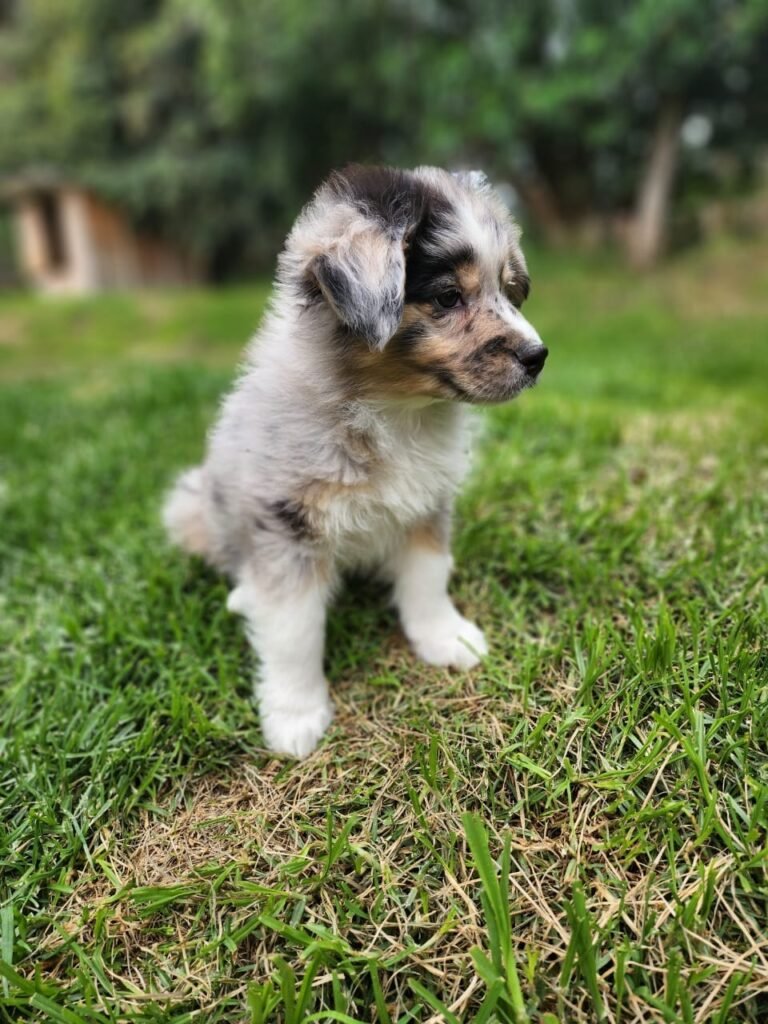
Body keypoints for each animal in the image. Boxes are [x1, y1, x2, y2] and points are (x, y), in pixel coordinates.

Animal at [162, 163, 548, 757]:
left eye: (507, 291)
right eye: (447, 298)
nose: (538, 357)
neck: (394, 412)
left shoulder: (426, 502)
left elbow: (428, 577)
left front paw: (445, 637)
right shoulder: (286, 522)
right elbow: (294, 628)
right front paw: (295, 714)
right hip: (193, 506)